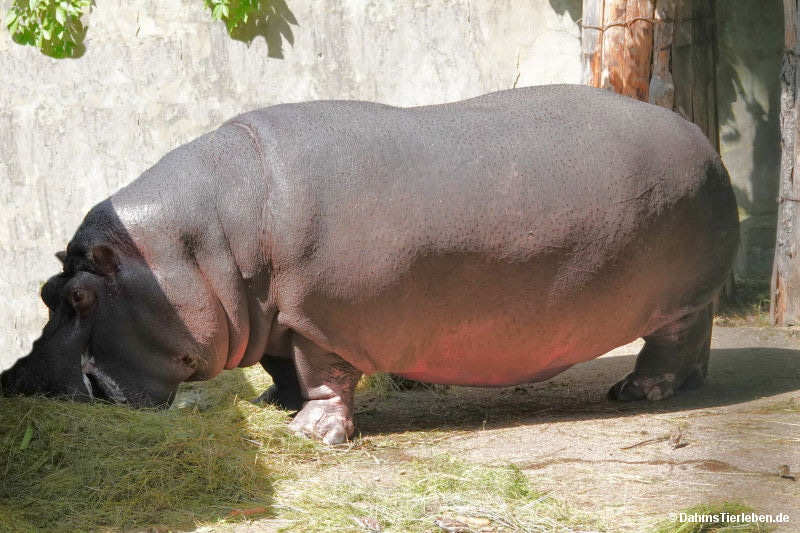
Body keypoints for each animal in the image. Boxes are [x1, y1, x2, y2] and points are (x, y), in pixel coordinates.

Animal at [1, 85, 739, 444]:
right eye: (44, 290)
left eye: (81, 299)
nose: (19, 383)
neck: (203, 247)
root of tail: (701, 136)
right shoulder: (279, 315)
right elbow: (284, 367)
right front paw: (275, 405)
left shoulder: (320, 318)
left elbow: (326, 376)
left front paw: (310, 435)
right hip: (691, 293)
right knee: (698, 338)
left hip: (676, 297)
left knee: (672, 342)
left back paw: (636, 392)